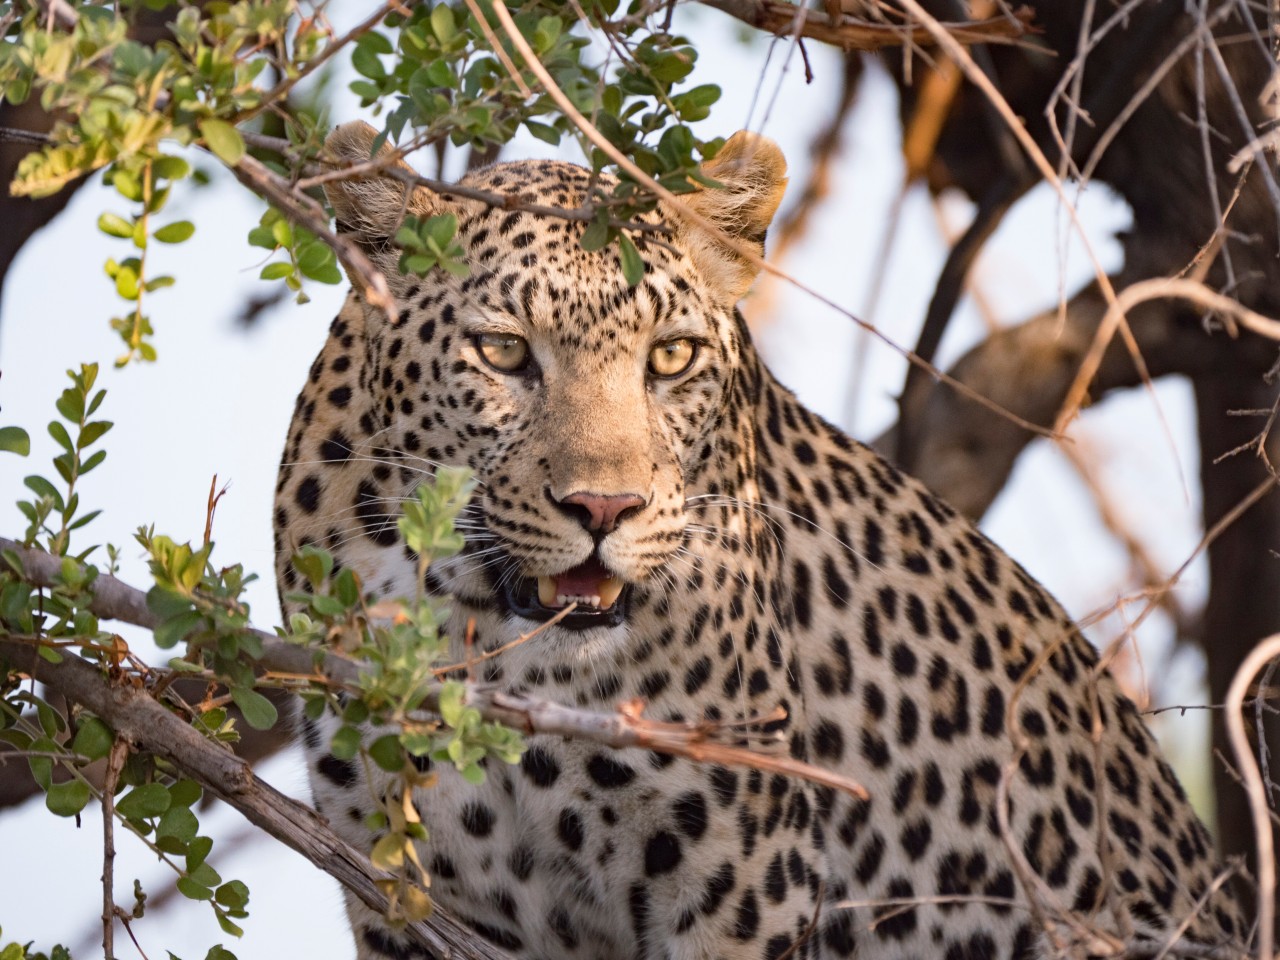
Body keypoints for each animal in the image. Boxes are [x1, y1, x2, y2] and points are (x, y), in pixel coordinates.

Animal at [275, 122, 1244, 960]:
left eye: (670, 358)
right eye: (504, 353)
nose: (604, 508)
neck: (494, 649)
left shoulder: (740, 878)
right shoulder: (404, 886)